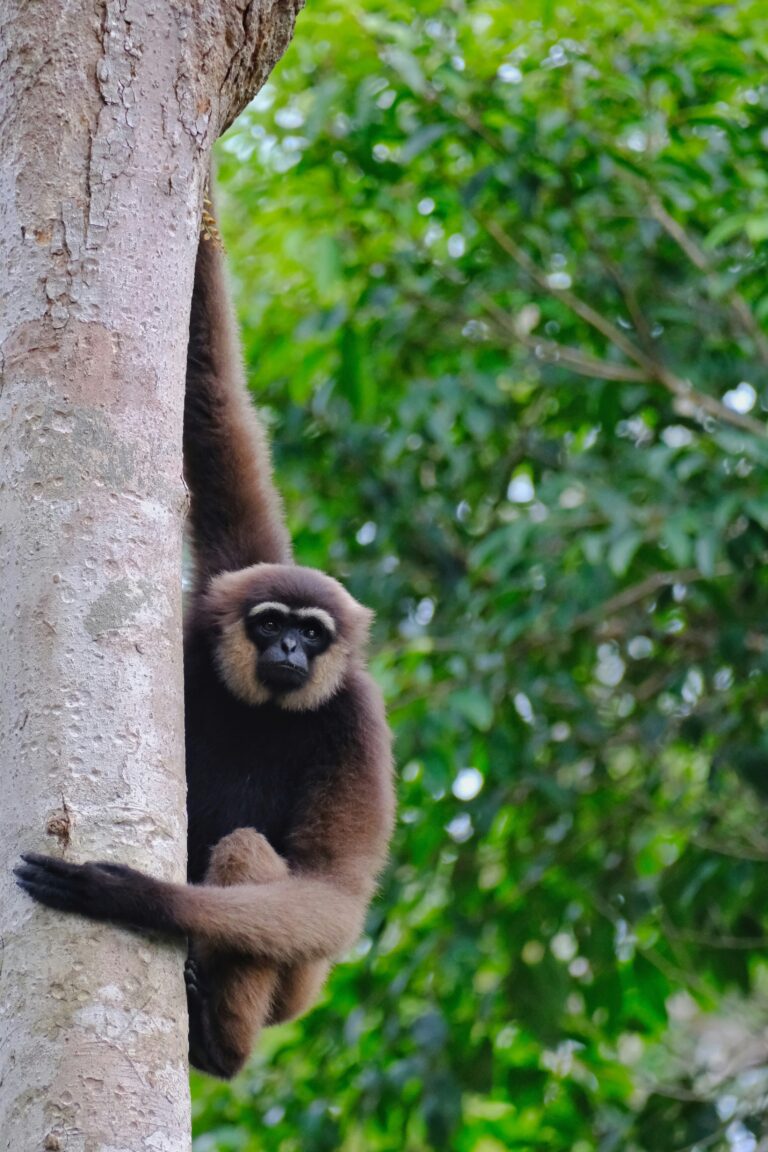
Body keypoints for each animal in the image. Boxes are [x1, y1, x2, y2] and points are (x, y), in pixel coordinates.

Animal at [14, 218, 395, 1080]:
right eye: (269, 623)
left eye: (313, 633)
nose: (290, 649)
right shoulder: (216, 600)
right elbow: (215, 406)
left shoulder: (358, 718)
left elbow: (334, 893)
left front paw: (132, 896)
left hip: (297, 990)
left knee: (251, 855)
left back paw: (220, 1043)